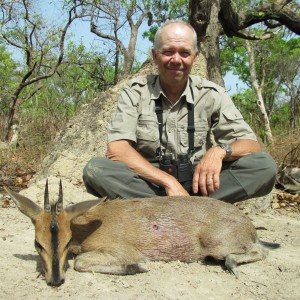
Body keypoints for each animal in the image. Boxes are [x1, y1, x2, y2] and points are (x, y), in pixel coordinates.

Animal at [4, 180, 278, 286]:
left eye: (67, 239)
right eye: (37, 243)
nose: (55, 280)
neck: (87, 226)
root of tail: (249, 225)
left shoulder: (122, 251)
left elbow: (80, 262)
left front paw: (136, 268)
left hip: (217, 243)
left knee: (260, 252)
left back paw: (231, 263)